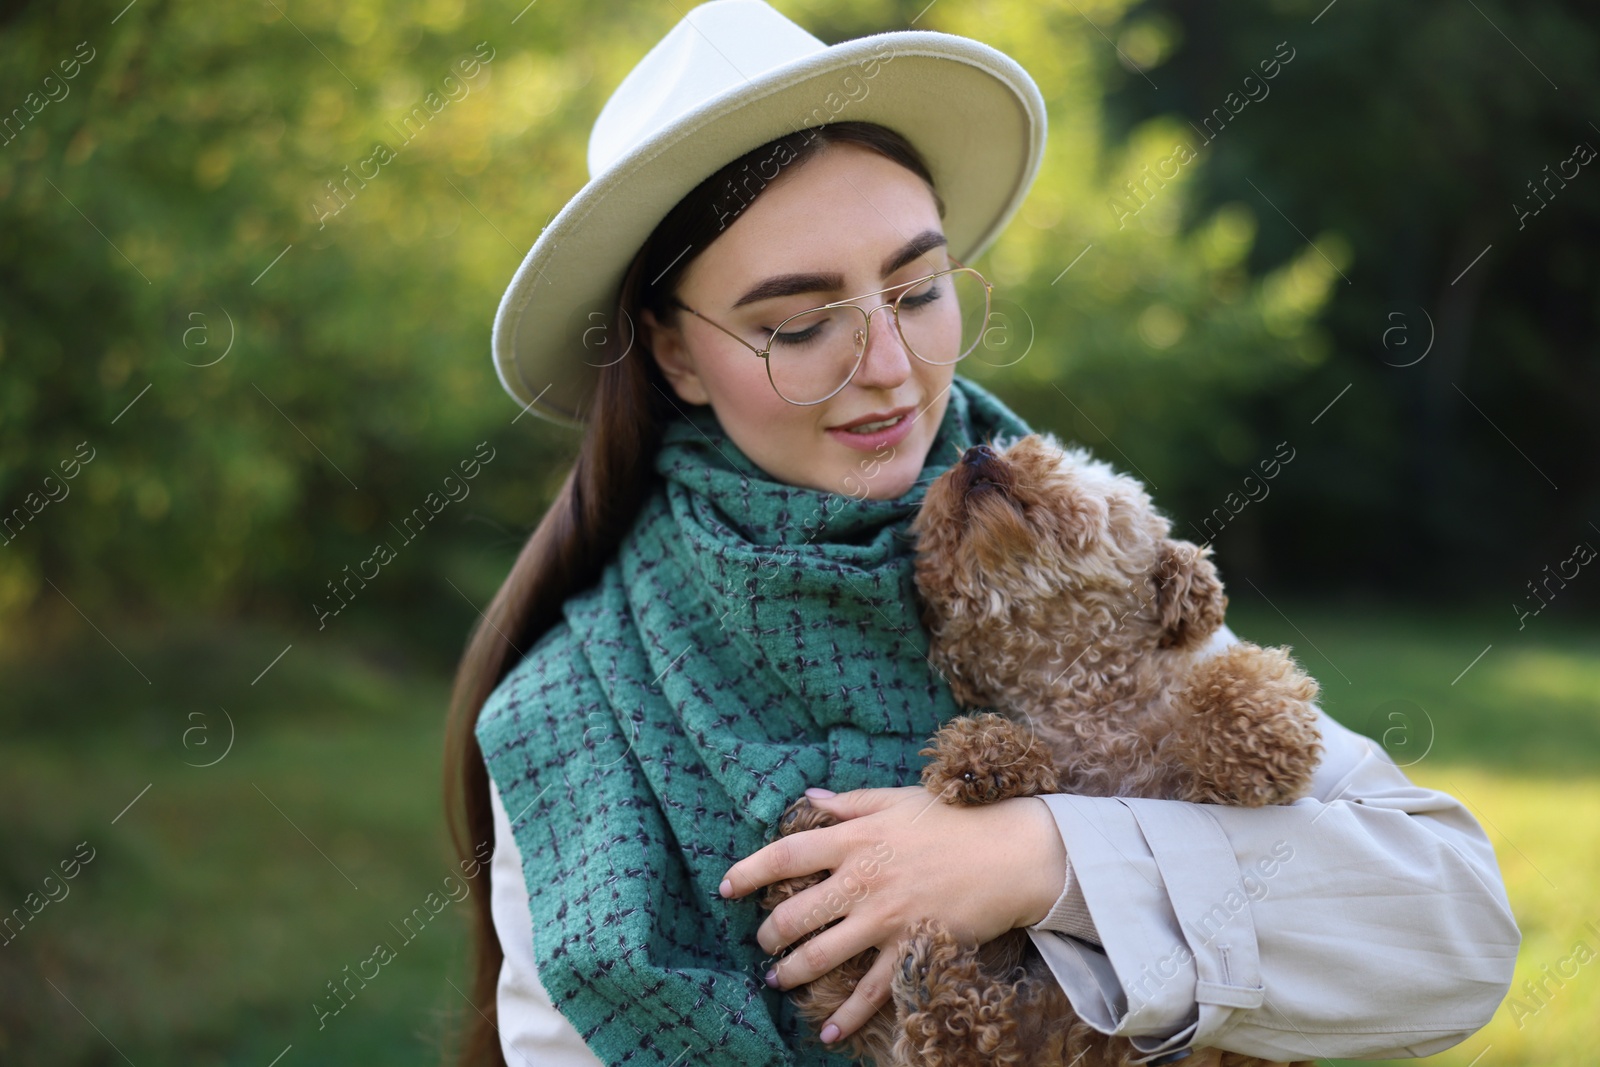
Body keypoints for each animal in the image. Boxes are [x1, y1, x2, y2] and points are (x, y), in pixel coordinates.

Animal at [761, 435, 1324, 1067]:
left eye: (1072, 467)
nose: (977, 453)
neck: (1084, 697)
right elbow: (1028, 756)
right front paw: (983, 757)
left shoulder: (1198, 780)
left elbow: (1239, 695)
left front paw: (1262, 728)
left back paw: (932, 988)